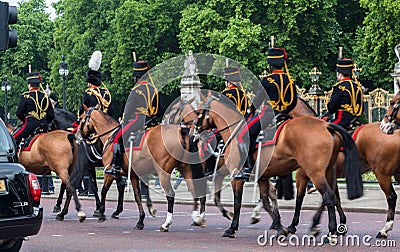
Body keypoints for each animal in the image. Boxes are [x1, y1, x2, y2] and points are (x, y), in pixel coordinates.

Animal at [78, 104, 208, 230]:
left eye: (81, 119)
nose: (78, 136)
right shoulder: (134, 175)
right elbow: (138, 196)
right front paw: (141, 220)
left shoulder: (109, 173)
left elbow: (104, 191)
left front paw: (101, 213)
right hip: (185, 168)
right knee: (193, 190)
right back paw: (197, 219)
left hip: (163, 172)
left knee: (171, 194)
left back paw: (166, 224)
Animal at [195, 95, 364, 239]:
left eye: (200, 112)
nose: (195, 131)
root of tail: (327, 126)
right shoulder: (263, 177)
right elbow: (266, 199)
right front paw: (279, 227)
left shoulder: (236, 176)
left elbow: (238, 202)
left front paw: (232, 228)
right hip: (327, 171)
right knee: (332, 196)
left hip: (315, 173)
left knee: (328, 196)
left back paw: (330, 231)